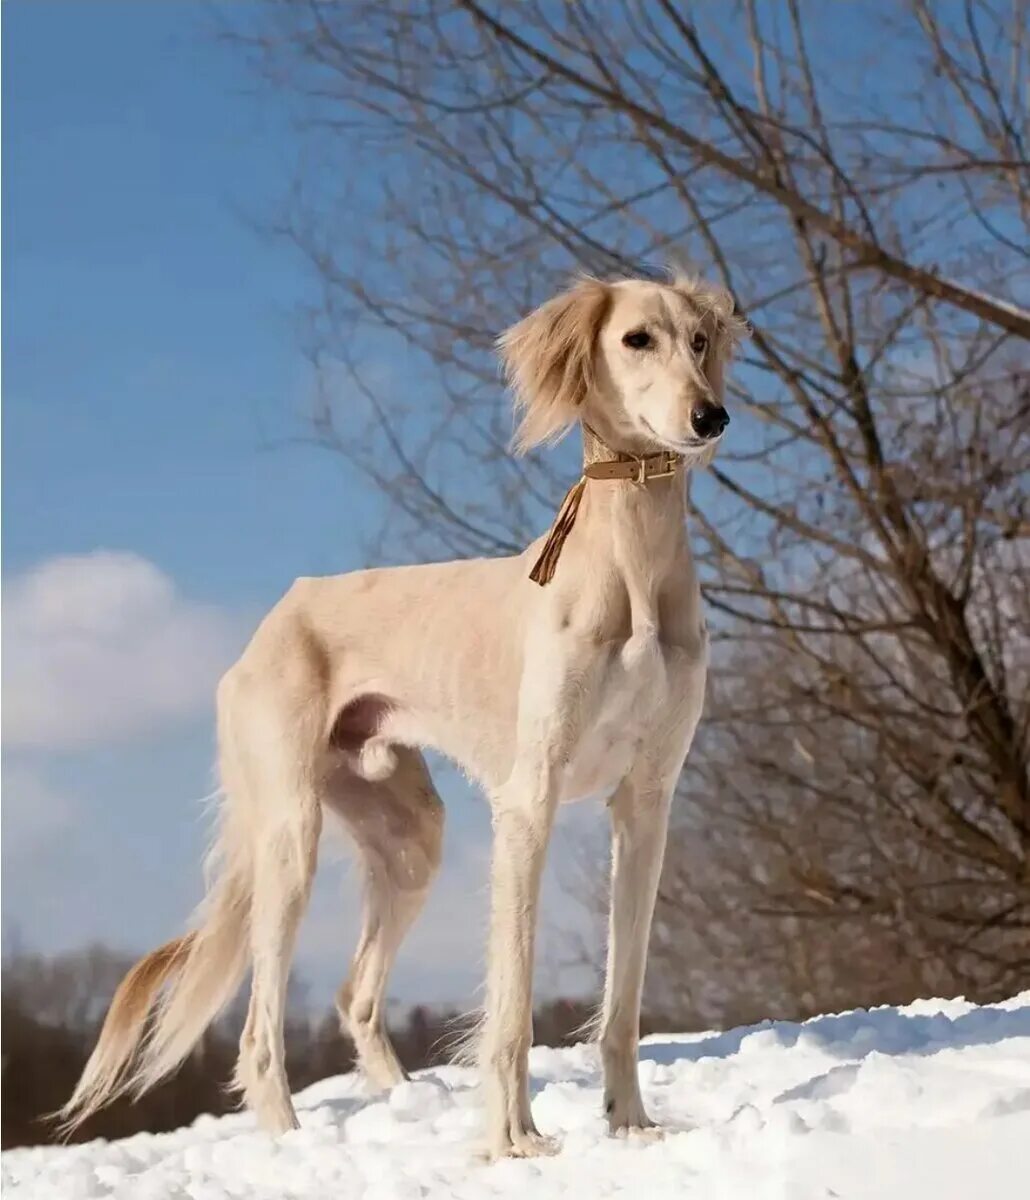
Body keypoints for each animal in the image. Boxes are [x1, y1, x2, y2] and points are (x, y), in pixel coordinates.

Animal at [60, 274, 744, 1161]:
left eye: (699, 340)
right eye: (636, 339)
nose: (710, 417)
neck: (633, 567)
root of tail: (275, 617)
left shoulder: (647, 802)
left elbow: (622, 998)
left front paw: (630, 1126)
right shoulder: (530, 799)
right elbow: (511, 1000)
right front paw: (513, 1141)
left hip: (410, 836)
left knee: (355, 993)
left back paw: (398, 1103)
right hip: (291, 836)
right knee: (259, 1031)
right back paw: (294, 1145)